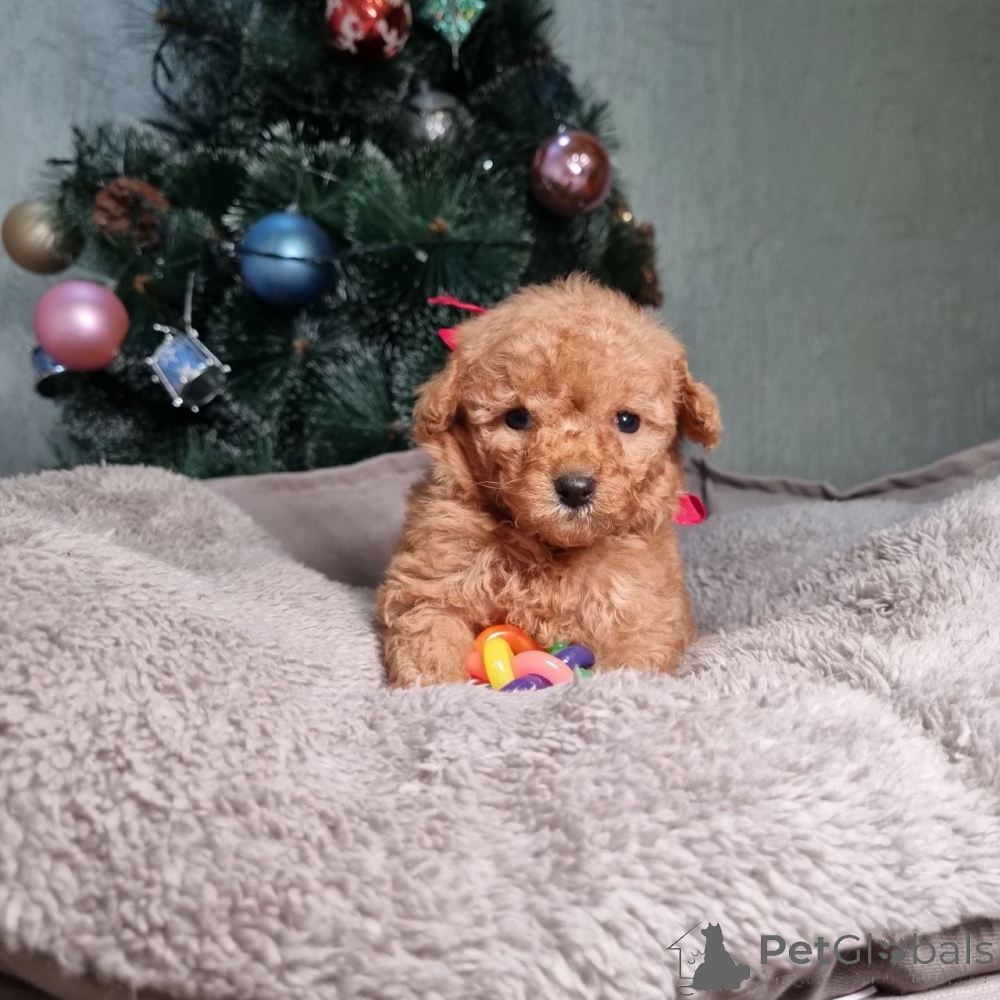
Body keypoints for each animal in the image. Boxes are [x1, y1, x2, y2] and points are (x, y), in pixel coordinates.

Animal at [378, 275, 721, 687]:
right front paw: (442, 689)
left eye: (627, 421)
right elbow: (430, 638)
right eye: (517, 418)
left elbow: (631, 661)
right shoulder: (430, 581)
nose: (575, 488)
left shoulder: (643, 612)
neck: (551, 550)